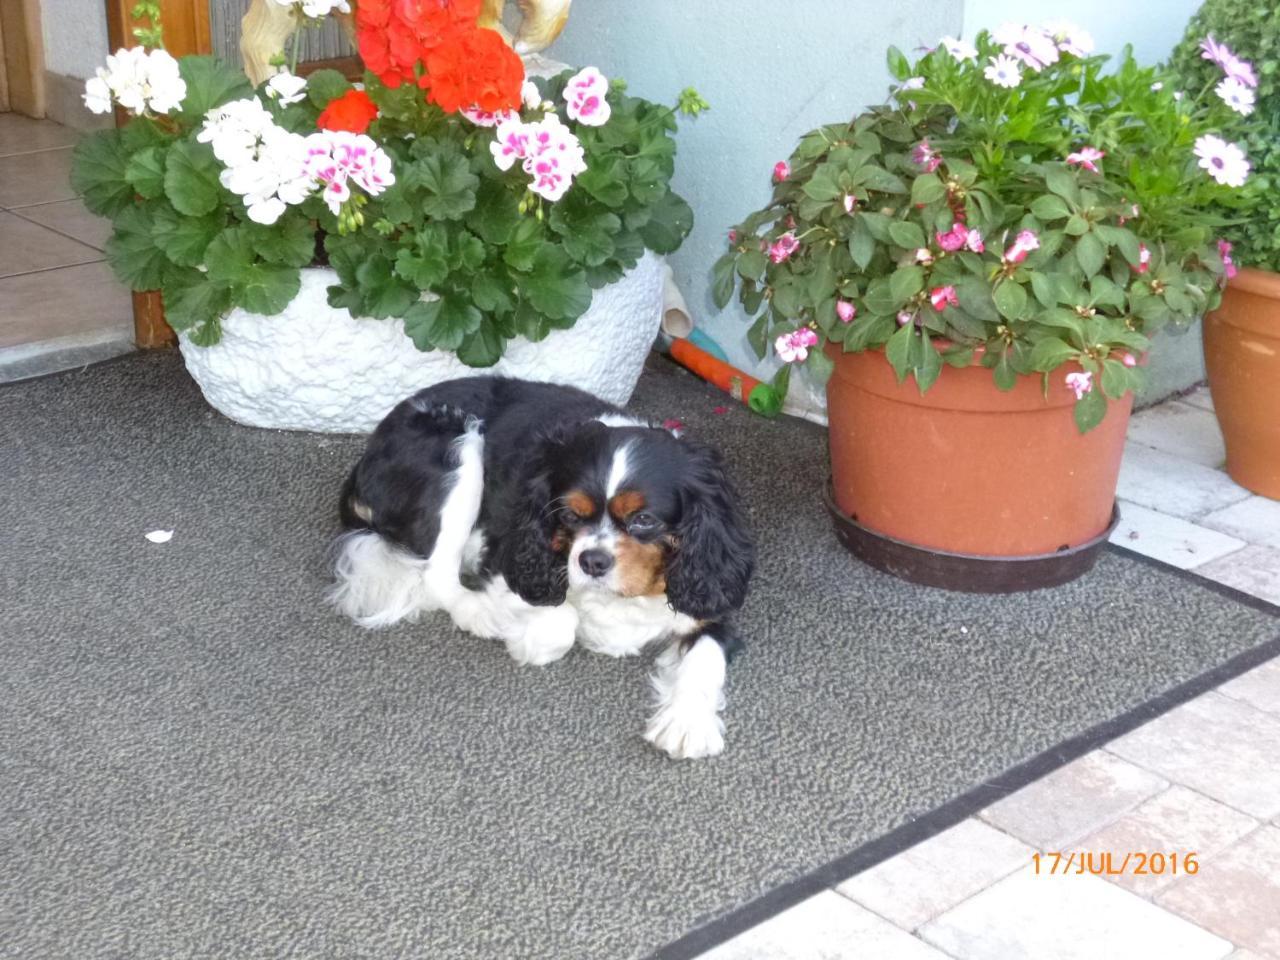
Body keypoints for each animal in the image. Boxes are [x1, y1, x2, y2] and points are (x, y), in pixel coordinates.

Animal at [325, 376, 752, 757]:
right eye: (570, 514)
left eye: (644, 520)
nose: (591, 561)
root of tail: (370, 449)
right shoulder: (510, 557)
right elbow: (558, 619)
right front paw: (527, 637)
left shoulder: (710, 597)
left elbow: (706, 658)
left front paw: (687, 723)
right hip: (459, 451)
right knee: (437, 575)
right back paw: (477, 612)